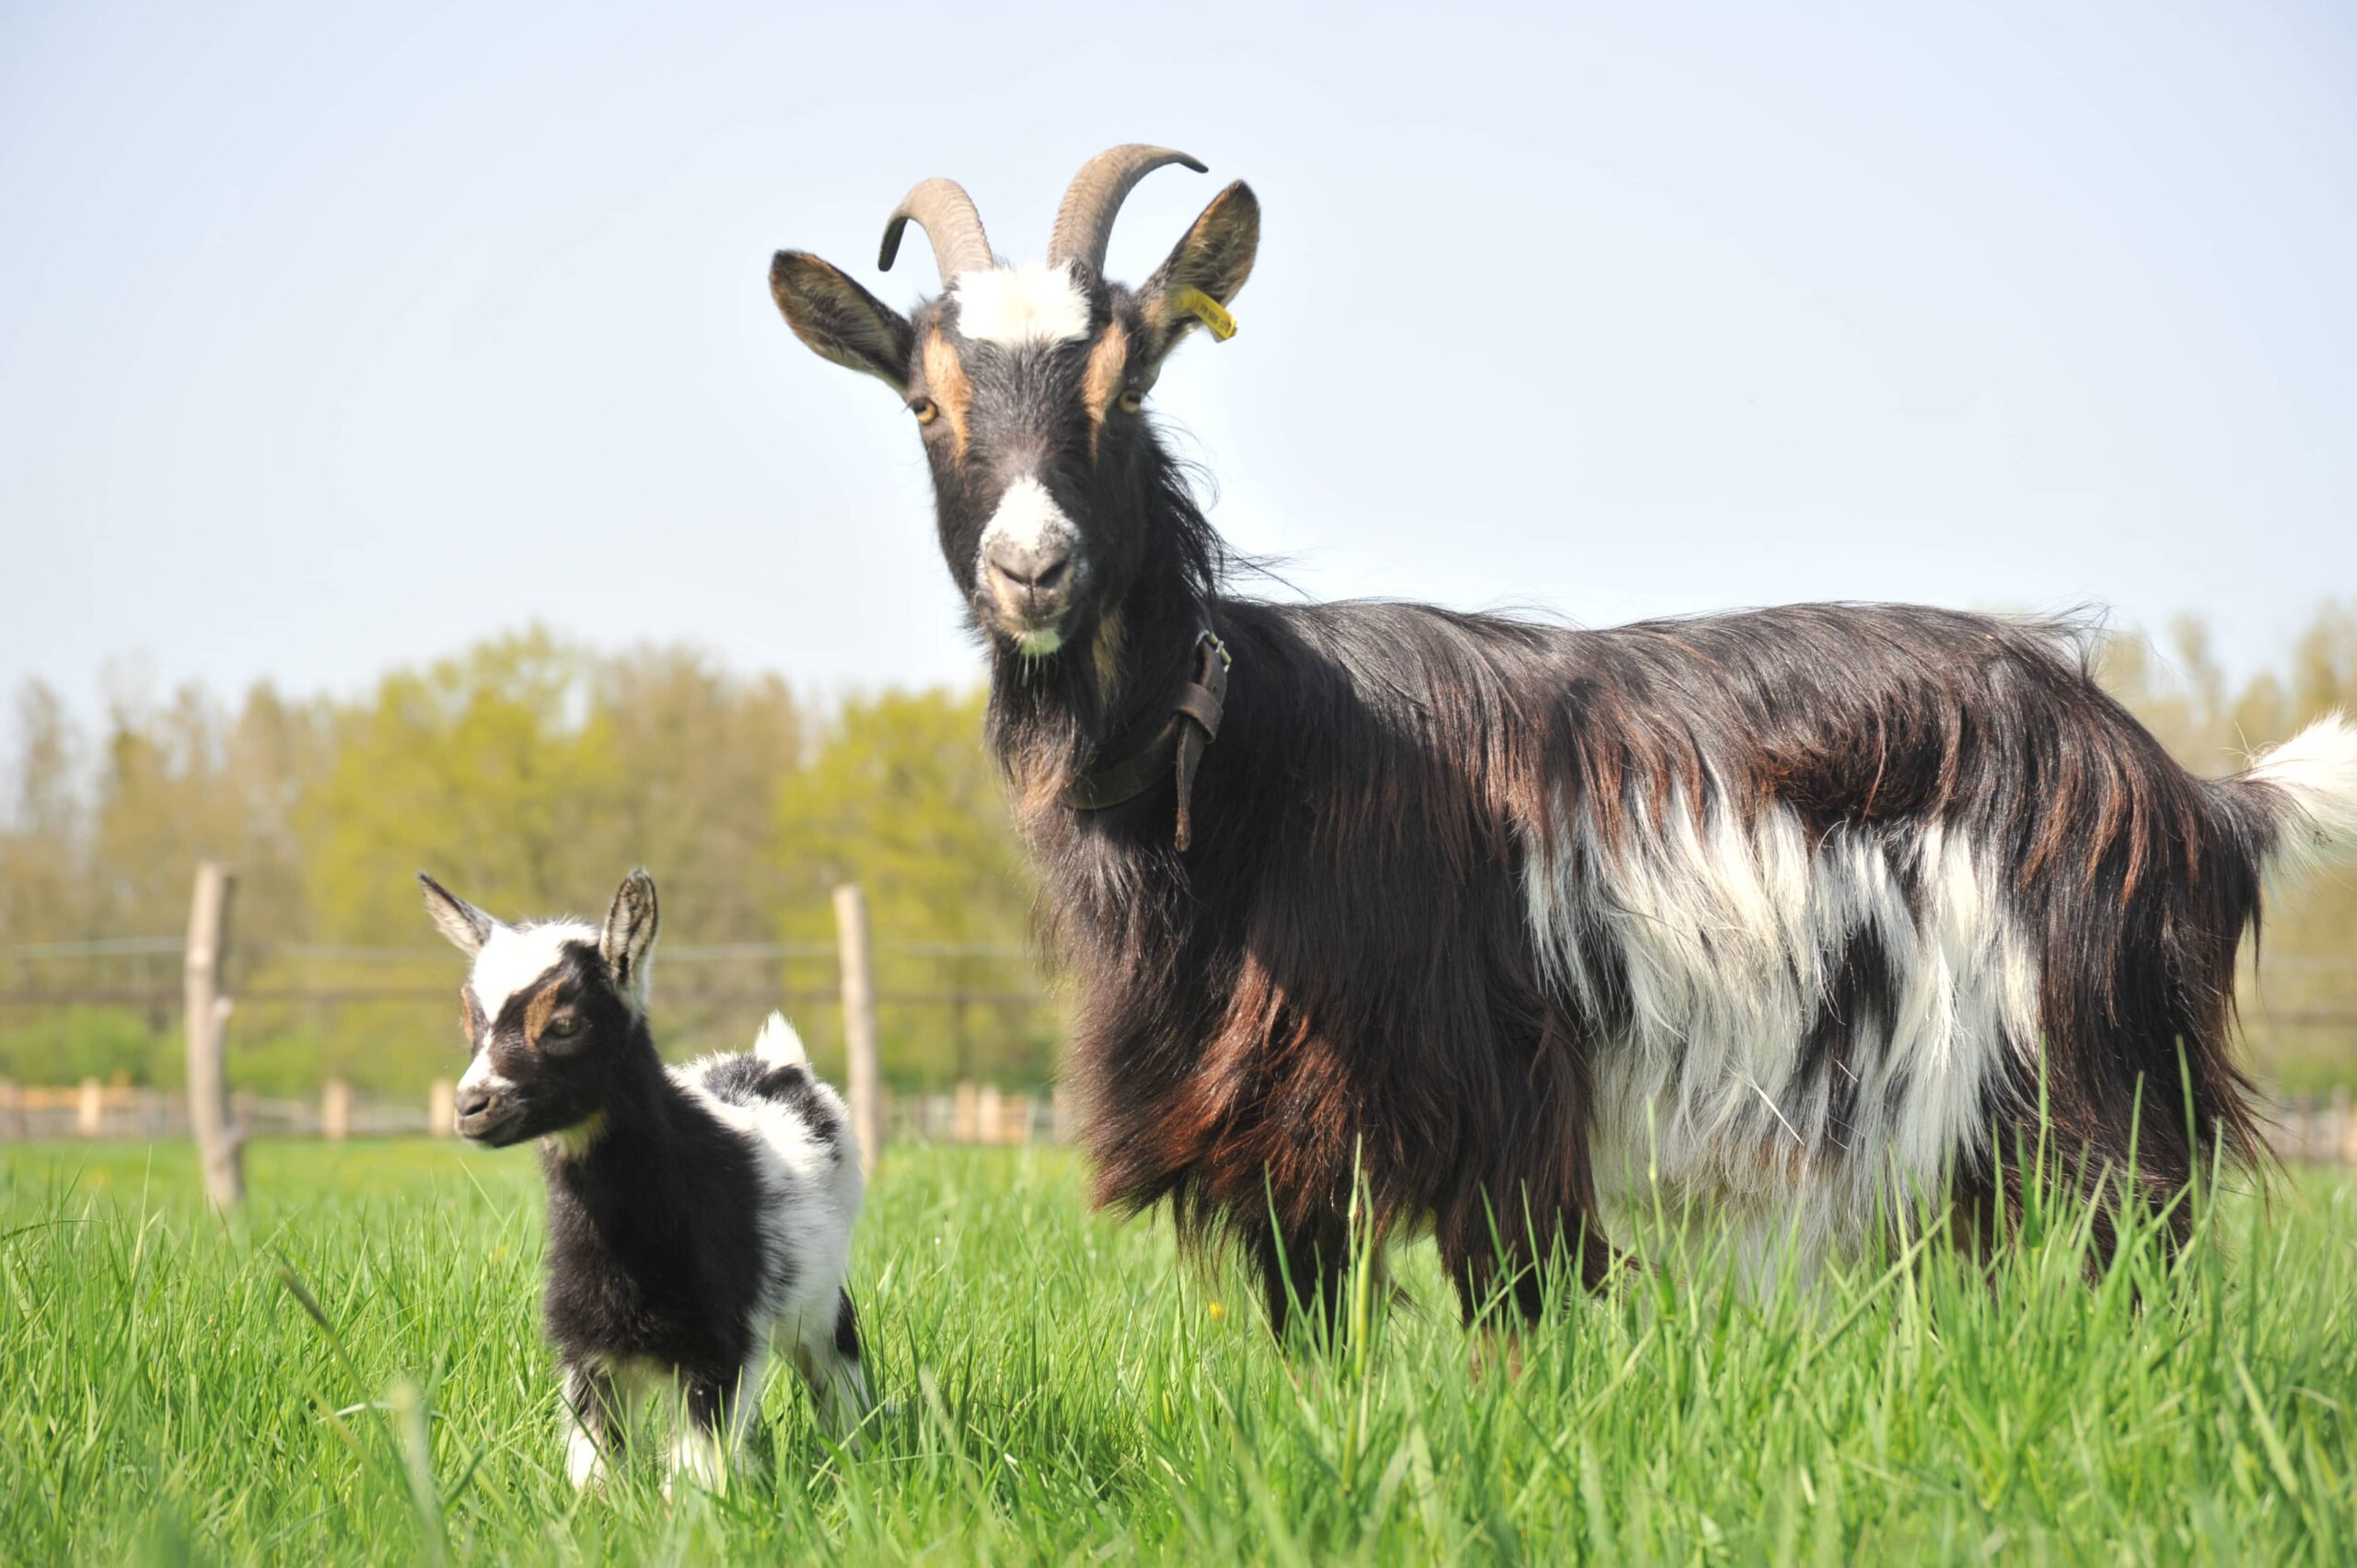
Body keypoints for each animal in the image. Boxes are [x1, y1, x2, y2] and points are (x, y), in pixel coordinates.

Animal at [768, 144, 2357, 1330]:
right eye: (927, 403)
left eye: (1129, 378)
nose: (1032, 567)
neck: (1246, 748)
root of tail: (2189, 794)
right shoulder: (1275, 1147)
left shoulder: (1500, 1108)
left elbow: (1511, 1320)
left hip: (2102, 1089)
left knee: (2132, 1263)